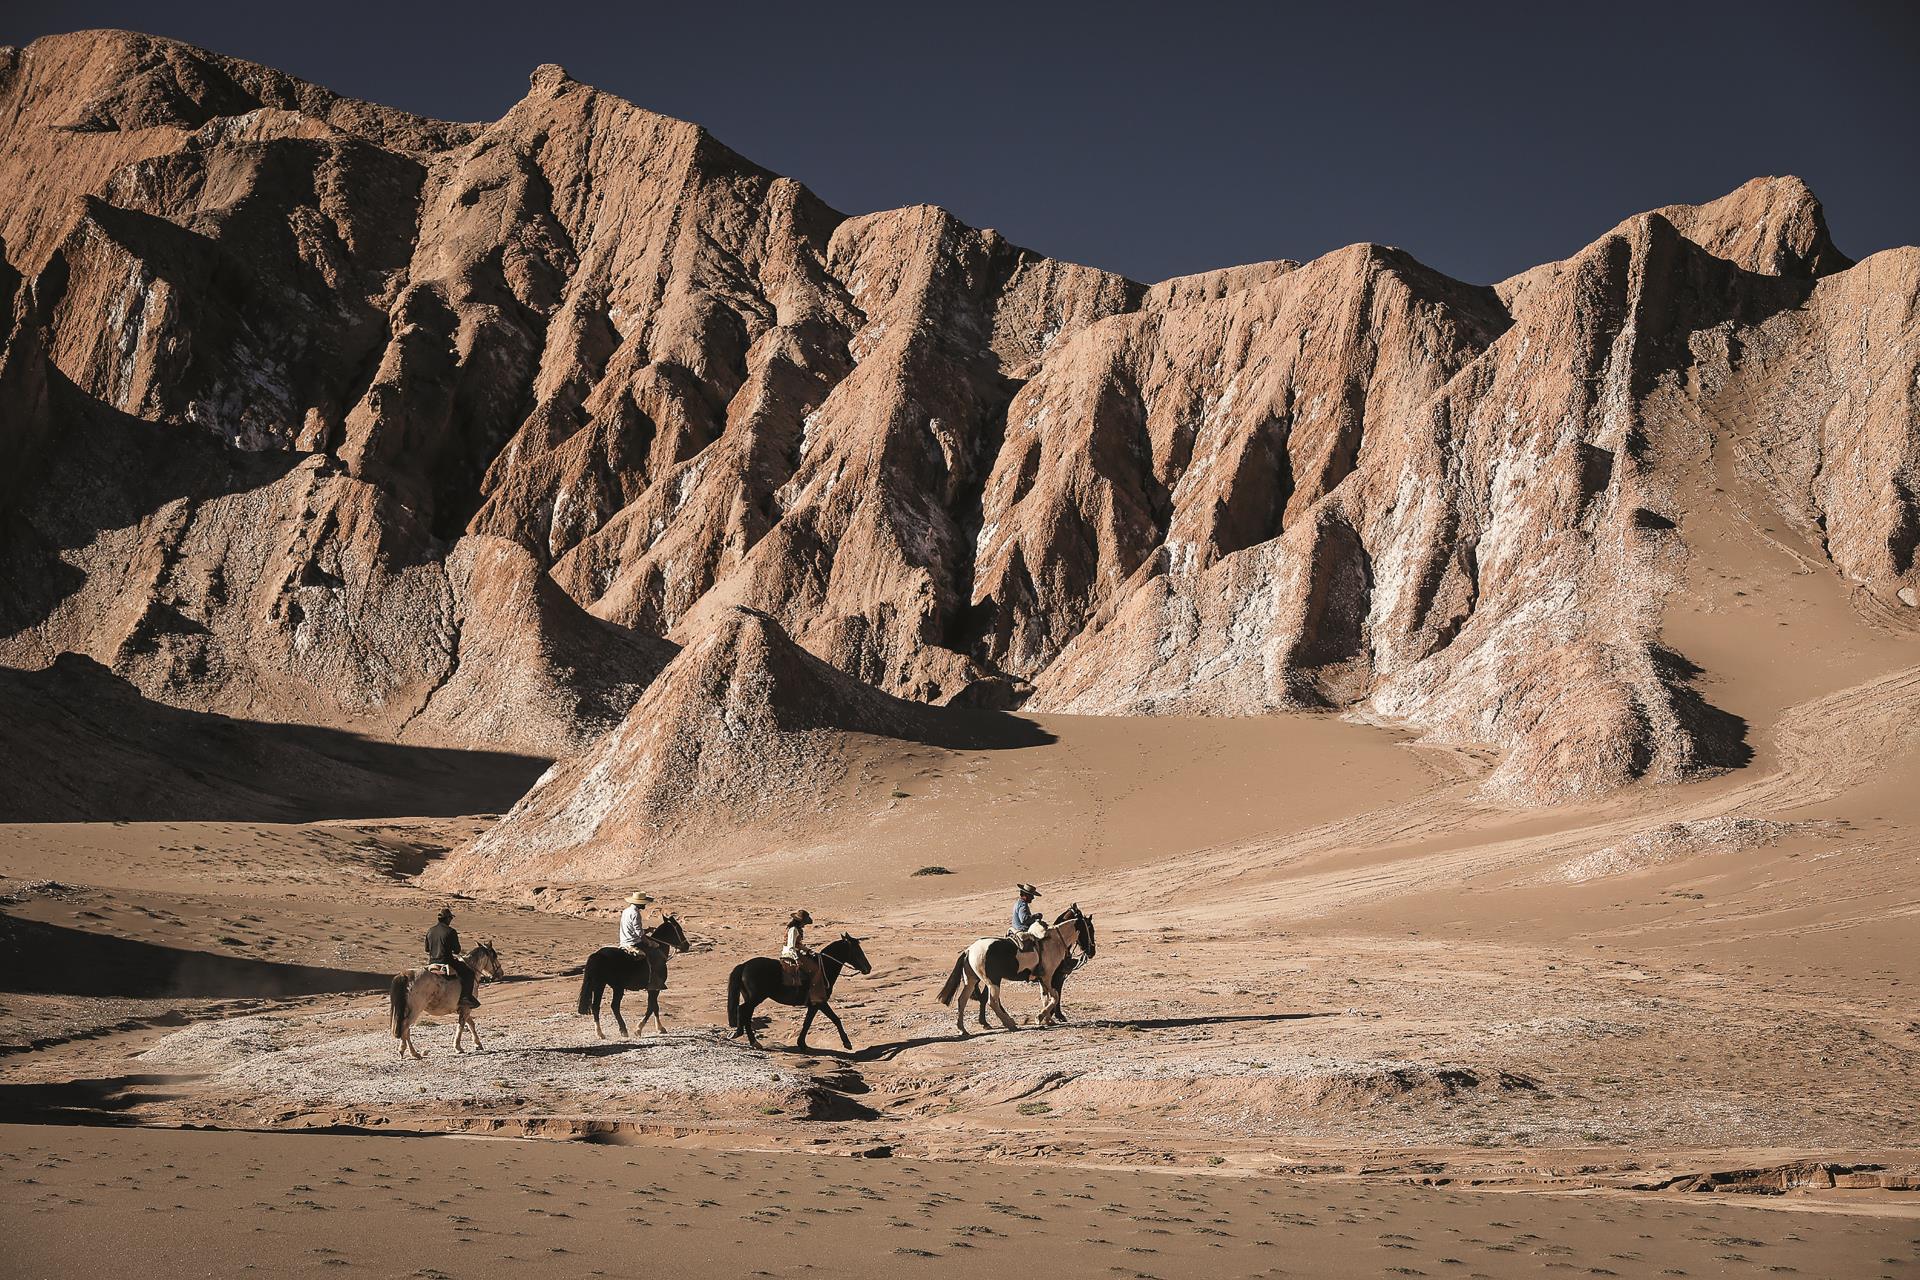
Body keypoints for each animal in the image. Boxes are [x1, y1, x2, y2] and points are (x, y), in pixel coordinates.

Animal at [729, 932, 875, 1051]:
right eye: (857, 951)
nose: (868, 968)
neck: (824, 969)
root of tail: (745, 965)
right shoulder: (820, 1002)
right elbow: (835, 1019)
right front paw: (847, 1043)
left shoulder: (814, 1005)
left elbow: (807, 1023)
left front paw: (802, 1043)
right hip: (756, 998)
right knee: (743, 1010)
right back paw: (749, 1039)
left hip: (750, 998)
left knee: (745, 1013)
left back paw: (745, 1037)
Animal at [940, 905, 1098, 1036]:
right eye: (1090, 929)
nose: (1092, 951)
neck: (1054, 942)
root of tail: (969, 950)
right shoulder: (1049, 977)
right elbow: (1055, 997)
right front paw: (1040, 1017)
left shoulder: (1043, 979)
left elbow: (1046, 997)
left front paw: (1048, 1020)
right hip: (993, 982)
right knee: (992, 1001)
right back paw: (1009, 1023)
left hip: (972, 980)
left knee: (962, 1000)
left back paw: (963, 1029)